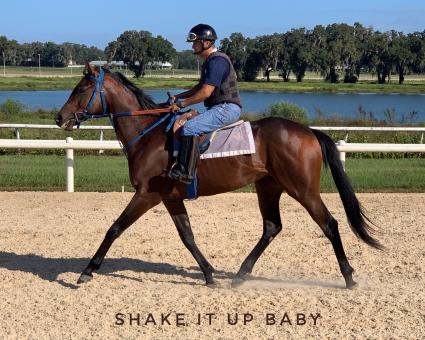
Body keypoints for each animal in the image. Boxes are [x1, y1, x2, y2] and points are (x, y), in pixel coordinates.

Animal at [53, 64, 380, 290]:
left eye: (80, 89)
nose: (59, 117)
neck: (149, 135)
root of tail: (308, 131)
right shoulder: (170, 198)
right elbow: (187, 236)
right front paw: (209, 274)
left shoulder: (147, 194)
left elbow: (114, 229)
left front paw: (87, 270)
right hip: (268, 187)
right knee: (271, 227)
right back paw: (240, 274)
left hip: (303, 191)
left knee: (330, 224)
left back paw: (349, 277)